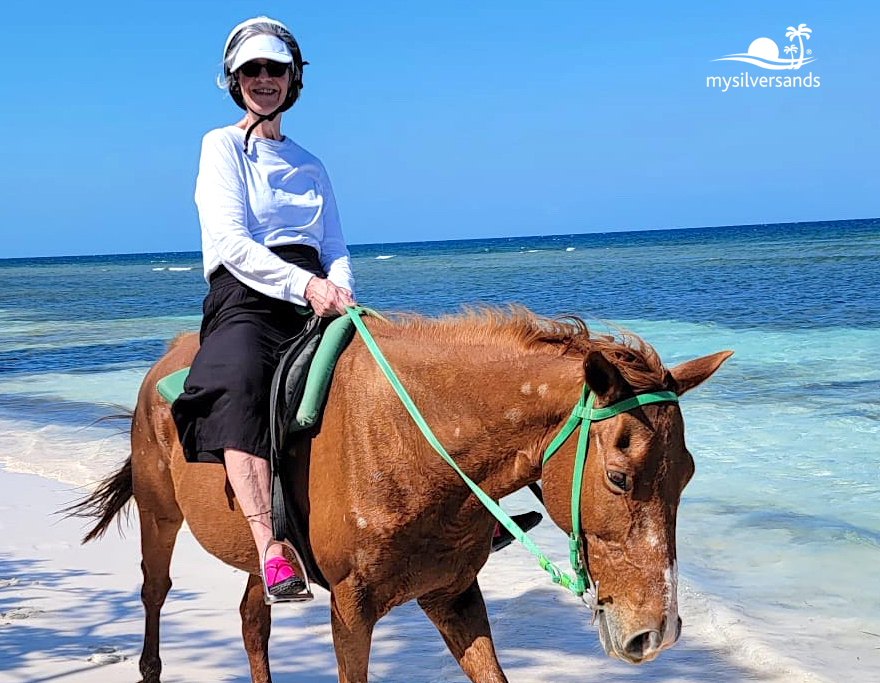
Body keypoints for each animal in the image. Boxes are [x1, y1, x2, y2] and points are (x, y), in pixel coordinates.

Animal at [75, 308, 732, 683]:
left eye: (689, 475)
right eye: (619, 478)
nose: (656, 634)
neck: (414, 444)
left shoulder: (453, 597)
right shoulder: (351, 613)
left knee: (251, 618)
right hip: (160, 514)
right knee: (155, 592)